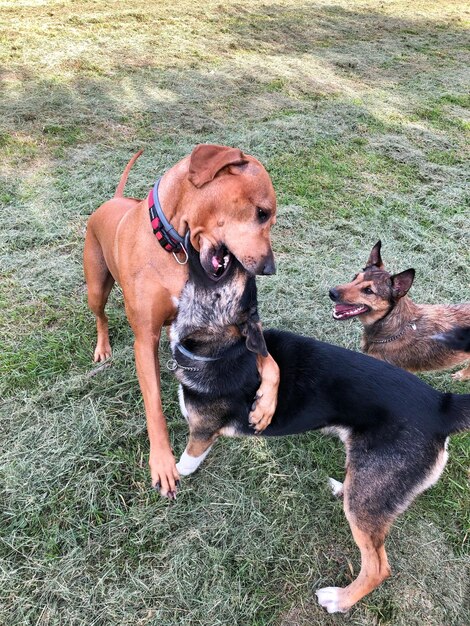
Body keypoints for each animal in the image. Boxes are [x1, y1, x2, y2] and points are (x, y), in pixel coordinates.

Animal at [83, 144, 280, 494]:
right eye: (261, 212)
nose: (269, 268)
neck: (173, 251)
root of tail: (114, 200)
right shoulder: (144, 340)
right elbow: (154, 407)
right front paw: (162, 462)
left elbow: (270, 361)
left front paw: (265, 405)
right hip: (96, 286)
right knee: (100, 315)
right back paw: (103, 347)